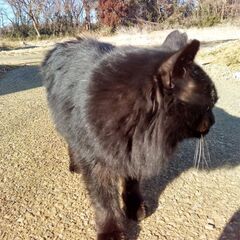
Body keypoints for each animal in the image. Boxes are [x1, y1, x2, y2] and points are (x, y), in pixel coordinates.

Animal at [41, 30, 218, 240]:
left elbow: (132, 181)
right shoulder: (97, 162)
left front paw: (133, 205)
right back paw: (75, 164)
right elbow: (104, 201)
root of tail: (62, 44)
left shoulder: (133, 151)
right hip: (67, 125)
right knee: (71, 143)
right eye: (209, 104)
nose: (214, 120)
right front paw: (111, 230)